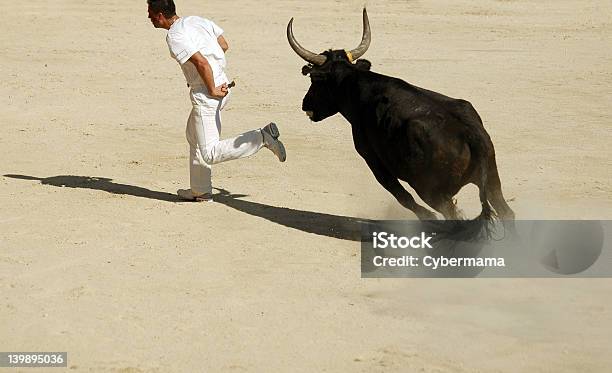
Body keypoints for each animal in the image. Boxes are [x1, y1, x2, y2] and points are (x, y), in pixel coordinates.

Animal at [288, 9, 516, 238]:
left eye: (314, 80)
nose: (305, 103)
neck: (355, 86)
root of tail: (469, 134)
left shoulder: (373, 160)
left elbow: (402, 196)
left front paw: (428, 219)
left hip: (430, 190)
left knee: (453, 217)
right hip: (492, 181)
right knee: (506, 212)